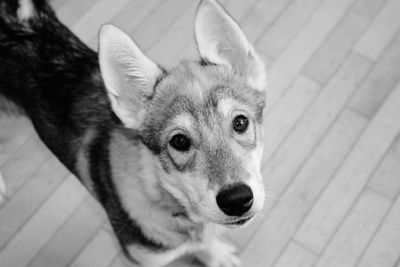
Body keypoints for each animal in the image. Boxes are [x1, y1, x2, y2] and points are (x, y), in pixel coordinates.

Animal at [0, 0, 268, 266]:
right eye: (179, 141)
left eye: (240, 122)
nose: (237, 200)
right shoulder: (143, 257)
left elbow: (204, 242)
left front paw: (215, 255)